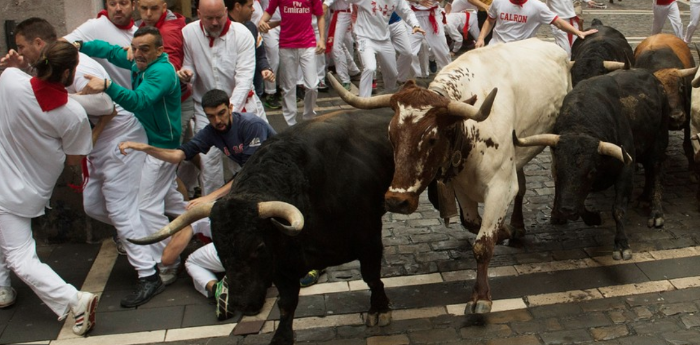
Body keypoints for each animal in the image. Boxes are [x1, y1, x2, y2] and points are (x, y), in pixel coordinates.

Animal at [330, 37, 572, 314]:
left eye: (432, 138)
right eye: (391, 135)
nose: (396, 201)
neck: (469, 129)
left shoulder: (500, 186)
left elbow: (482, 245)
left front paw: (481, 297)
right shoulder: (462, 188)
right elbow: (473, 224)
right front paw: (506, 230)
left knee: (555, 172)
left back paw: (557, 214)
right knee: (521, 187)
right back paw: (518, 225)